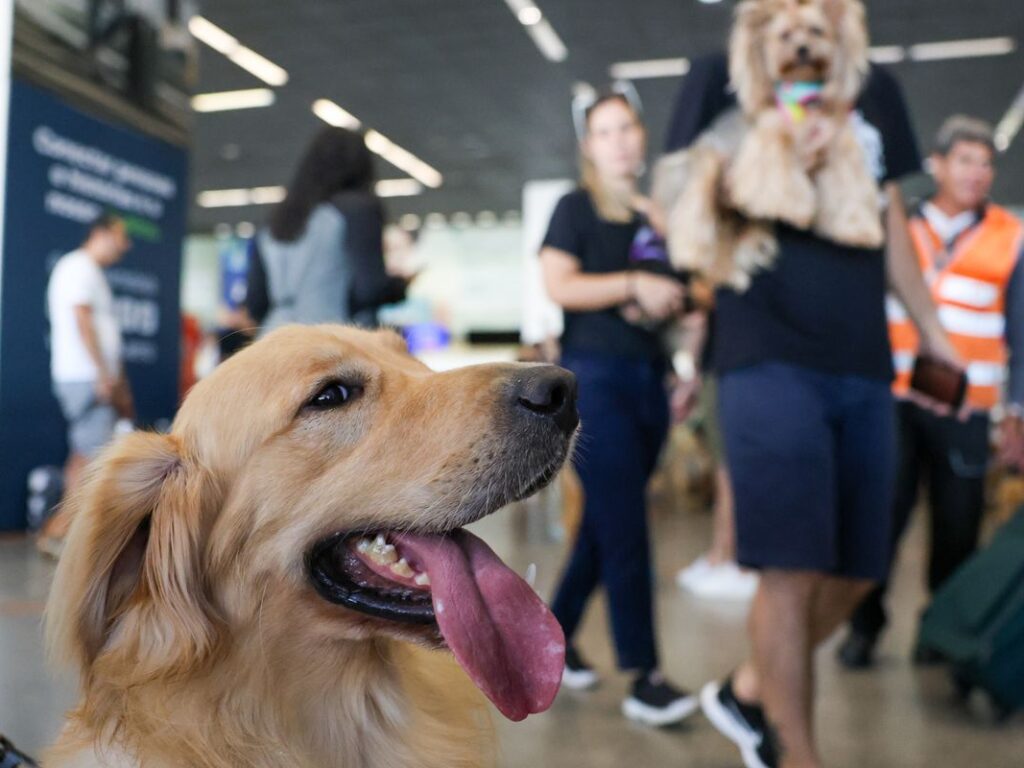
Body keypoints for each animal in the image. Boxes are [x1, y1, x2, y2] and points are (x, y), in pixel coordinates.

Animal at [659, 0, 884, 290]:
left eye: (816, 31)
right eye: (784, 35)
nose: (802, 49)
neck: (802, 94)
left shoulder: (837, 147)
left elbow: (849, 188)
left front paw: (859, 230)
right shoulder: (772, 136)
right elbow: (779, 176)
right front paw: (793, 208)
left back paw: (729, 273)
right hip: (707, 163)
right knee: (694, 208)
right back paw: (692, 252)